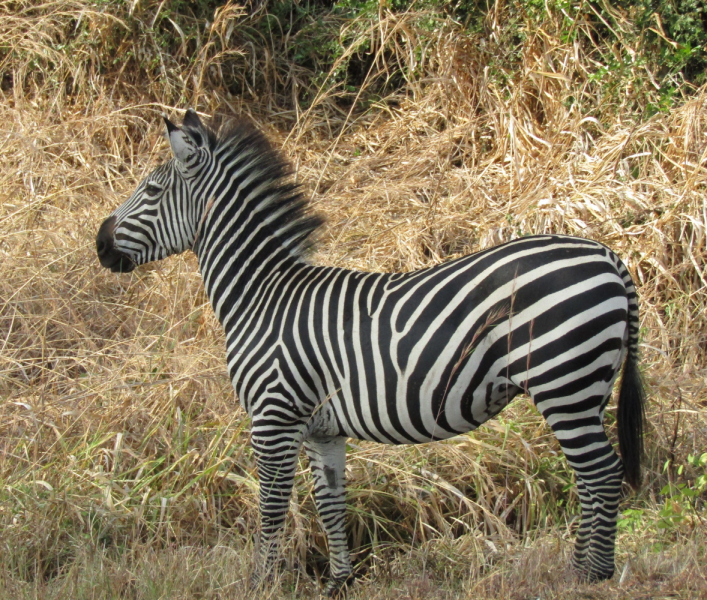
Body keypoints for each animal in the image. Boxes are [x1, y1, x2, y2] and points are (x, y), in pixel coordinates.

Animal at [97, 109, 644, 596]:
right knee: (590, 477)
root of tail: (608, 255)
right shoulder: (320, 428)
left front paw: (259, 585)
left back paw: (591, 575)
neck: (262, 295)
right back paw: (580, 568)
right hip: (588, 388)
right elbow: (330, 502)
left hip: (563, 381)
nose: (99, 244)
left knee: (601, 473)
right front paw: (340, 582)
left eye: (150, 191)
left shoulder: (273, 416)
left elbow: (271, 507)